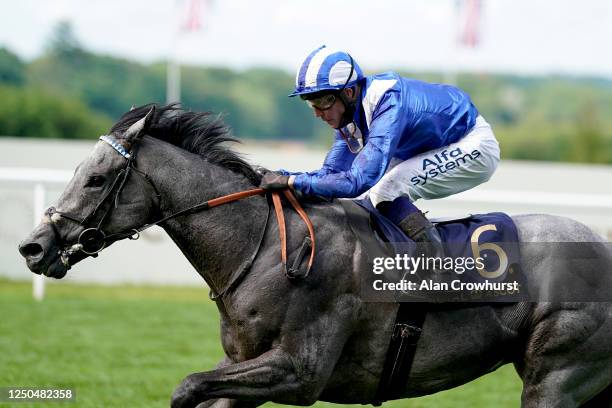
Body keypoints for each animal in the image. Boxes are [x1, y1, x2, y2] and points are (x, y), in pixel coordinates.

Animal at [16, 103, 612, 406]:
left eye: (95, 178)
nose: (33, 246)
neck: (264, 250)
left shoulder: (300, 371)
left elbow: (185, 389)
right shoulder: (242, 367)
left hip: (556, 375)